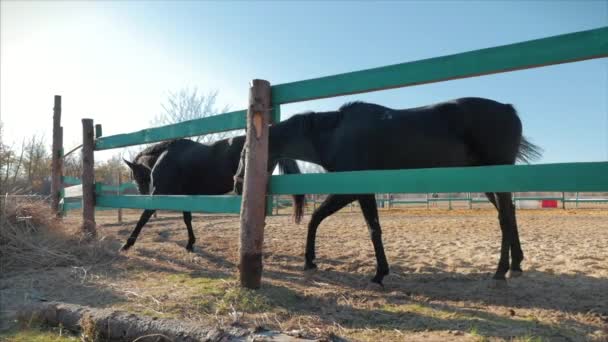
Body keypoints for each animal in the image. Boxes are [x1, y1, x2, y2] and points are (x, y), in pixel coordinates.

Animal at [123, 136, 304, 251]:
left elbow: (143, 217)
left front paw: (127, 244)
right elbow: (187, 219)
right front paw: (190, 244)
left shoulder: (159, 194)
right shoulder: (184, 196)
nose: (143, 193)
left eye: (136, 176)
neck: (165, 155)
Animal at [234, 97, 540, 286]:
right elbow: (318, 219)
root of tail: (508, 109)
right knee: (507, 215)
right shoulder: (350, 192)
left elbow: (371, 229)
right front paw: (310, 261)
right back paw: (515, 264)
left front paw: (379, 273)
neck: (335, 134)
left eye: (245, 152)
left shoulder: (356, 191)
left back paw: (500, 270)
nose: (237, 184)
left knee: (505, 217)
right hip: (487, 183)